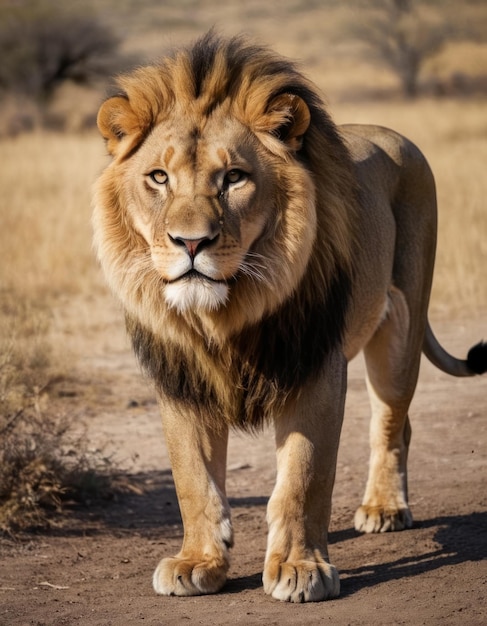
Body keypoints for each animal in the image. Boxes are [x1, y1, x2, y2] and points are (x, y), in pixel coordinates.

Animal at [92, 30, 487, 600]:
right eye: (159, 178)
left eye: (234, 177)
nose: (191, 242)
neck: (225, 314)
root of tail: (391, 134)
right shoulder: (182, 375)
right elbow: (191, 478)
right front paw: (198, 561)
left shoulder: (315, 366)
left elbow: (305, 475)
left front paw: (301, 569)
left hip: (401, 331)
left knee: (393, 421)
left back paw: (384, 508)